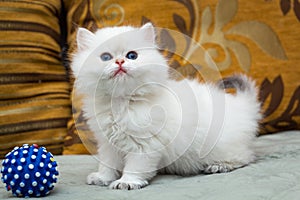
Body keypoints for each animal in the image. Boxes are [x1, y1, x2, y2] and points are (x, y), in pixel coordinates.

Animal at [70, 22, 260, 190]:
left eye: (132, 56)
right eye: (106, 57)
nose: (119, 62)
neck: (121, 102)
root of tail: (242, 105)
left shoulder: (145, 144)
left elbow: (135, 167)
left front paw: (127, 182)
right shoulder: (108, 143)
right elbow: (107, 164)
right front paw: (102, 178)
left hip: (222, 147)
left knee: (245, 157)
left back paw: (219, 166)